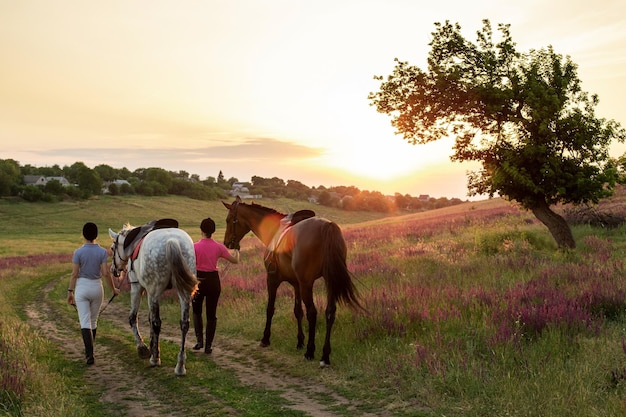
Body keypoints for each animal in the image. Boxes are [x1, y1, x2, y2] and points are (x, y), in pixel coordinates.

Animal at [223, 193, 360, 366]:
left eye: (228, 220)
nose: (227, 243)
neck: (274, 230)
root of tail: (327, 226)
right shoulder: (296, 284)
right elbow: (297, 311)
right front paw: (299, 341)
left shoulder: (272, 280)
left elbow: (270, 309)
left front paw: (265, 338)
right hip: (329, 281)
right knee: (330, 312)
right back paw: (325, 356)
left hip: (307, 284)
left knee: (312, 312)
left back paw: (310, 351)